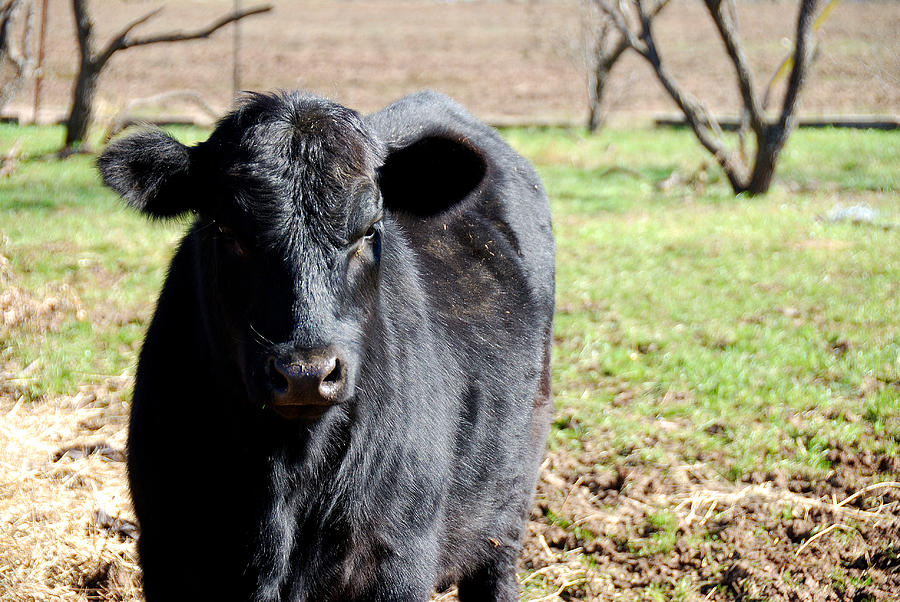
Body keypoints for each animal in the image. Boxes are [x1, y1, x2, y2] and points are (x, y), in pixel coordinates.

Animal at [95, 90, 552, 600]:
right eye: (227, 231)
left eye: (370, 229)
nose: (305, 374)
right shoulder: (166, 551)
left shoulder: (398, 558)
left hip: (508, 503)